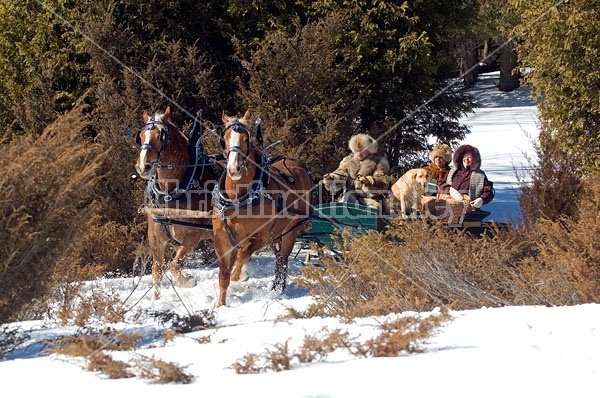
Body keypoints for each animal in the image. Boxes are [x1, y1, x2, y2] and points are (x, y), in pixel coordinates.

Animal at [135, 105, 221, 298]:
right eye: (141, 135)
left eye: (160, 136)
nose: (143, 167)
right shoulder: (155, 241)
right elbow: (157, 273)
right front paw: (156, 300)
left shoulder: (191, 238)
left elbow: (175, 266)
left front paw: (188, 281)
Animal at [212, 110, 314, 306]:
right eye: (225, 138)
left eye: (246, 139)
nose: (234, 169)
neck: (238, 199)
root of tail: (297, 164)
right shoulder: (222, 240)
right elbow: (223, 276)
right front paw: (220, 305)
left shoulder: (263, 235)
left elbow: (242, 254)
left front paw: (238, 276)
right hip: (278, 235)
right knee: (279, 258)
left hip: (291, 230)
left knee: (282, 258)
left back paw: (277, 288)